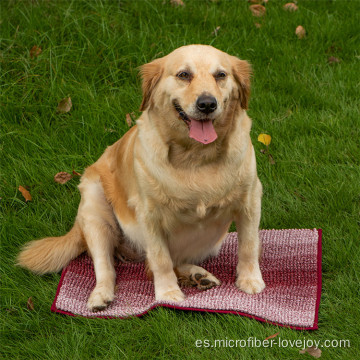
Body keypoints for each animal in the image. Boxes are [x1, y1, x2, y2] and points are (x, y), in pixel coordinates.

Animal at [18, 44, 266, 310]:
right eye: (184, 75)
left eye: (220, 75)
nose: (207, 104)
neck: (196, 156)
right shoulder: (150, 215)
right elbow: (160, 259)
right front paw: (167, 293)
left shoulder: (250, 200)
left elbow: (249, 245)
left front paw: (250, 280)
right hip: (95, 211)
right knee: (108, 267)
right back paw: (100, 295)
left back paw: (197, 275)